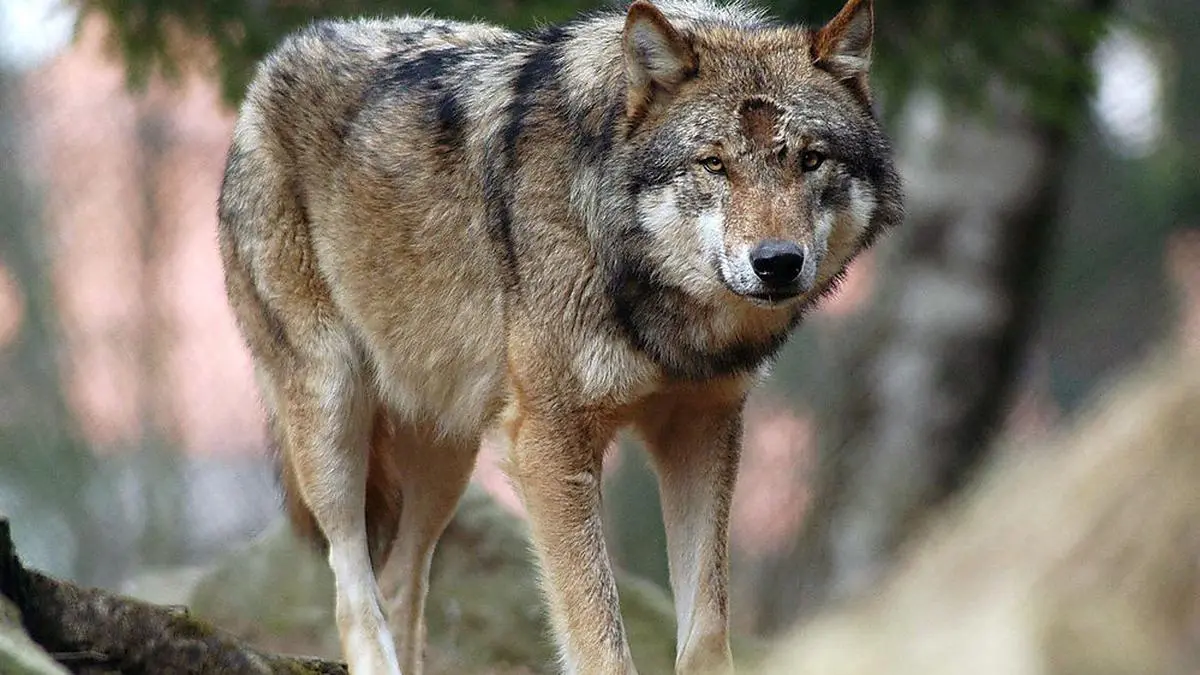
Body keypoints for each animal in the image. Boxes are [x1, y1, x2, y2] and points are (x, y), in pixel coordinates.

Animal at [216, 0, 902, 671]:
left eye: (810, 159)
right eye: (714, 164)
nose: (778, 262)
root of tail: (278, 57)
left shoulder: (702, 427)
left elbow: (707, 633)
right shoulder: (550, 440)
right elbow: (601, 642)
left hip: (448, 457)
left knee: (400, 587)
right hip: (335, 419)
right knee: (354, 597)